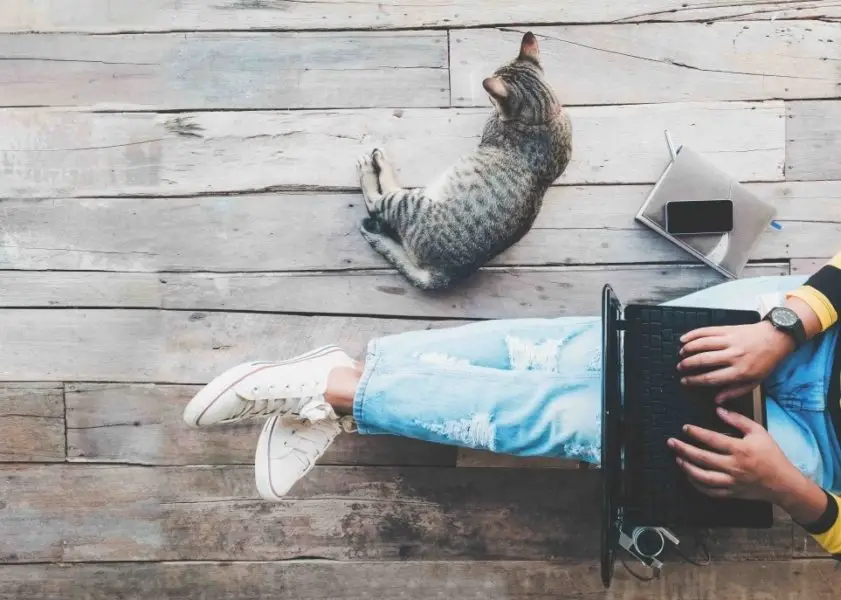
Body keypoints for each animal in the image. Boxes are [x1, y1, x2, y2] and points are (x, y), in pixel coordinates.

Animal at [354, 32, 572, 290]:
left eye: (491, 96)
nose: (489, 99)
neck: (545, 116)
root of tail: (445, 274)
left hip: (411, 204)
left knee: (377, 201)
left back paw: (372, 165)